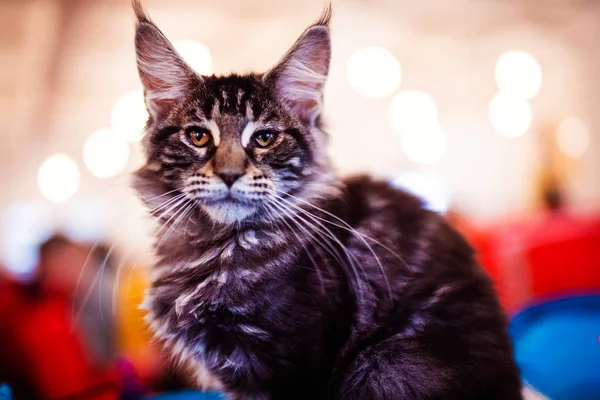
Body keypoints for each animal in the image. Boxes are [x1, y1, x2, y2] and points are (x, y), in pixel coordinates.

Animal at [130, 1, 520, 398]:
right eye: (198, 136)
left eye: (265, 138)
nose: (228, 173)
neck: (221, 248)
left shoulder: (293, 363)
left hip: (383, 362)